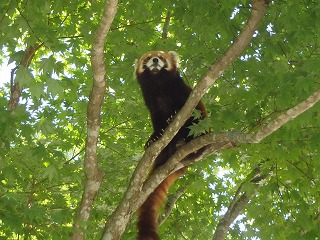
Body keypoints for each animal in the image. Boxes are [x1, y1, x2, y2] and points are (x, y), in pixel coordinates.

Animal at [134, 49, 206, 239]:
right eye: (147, 58)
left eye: (160, 56)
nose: (155, 60)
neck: (159, 84)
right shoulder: (152, 104)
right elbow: (158, 122)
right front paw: (155, 136)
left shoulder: (183, 93)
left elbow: (190, 108)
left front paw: (174, 115)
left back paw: (186, 142)